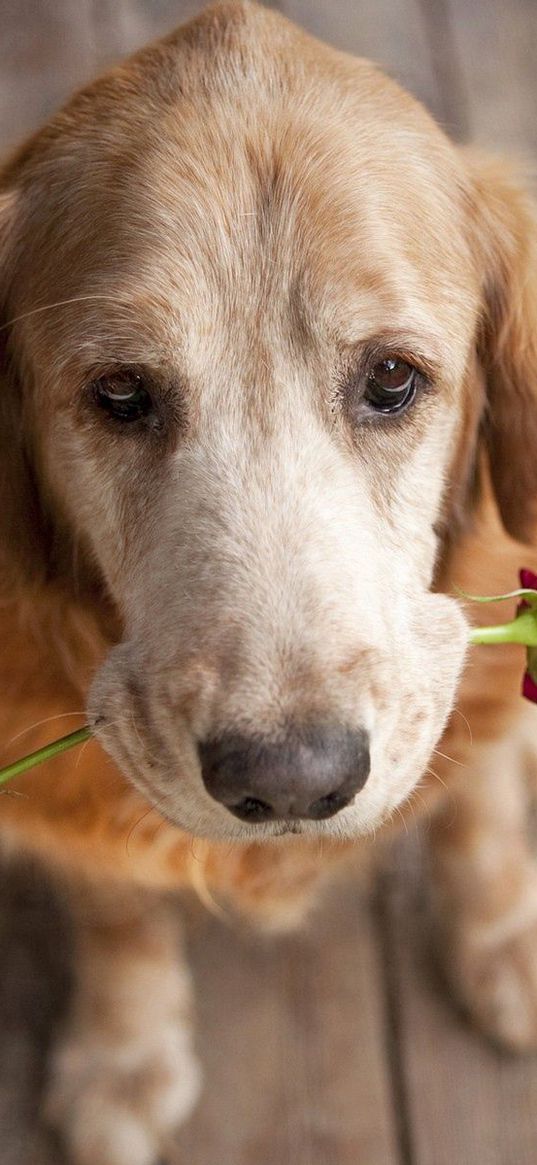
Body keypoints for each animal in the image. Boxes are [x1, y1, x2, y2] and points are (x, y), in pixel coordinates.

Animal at [1, 0, 535, 1160]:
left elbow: (476, 808)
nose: (293, 781)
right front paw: (122, 1050)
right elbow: (114, 905)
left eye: (392, 378)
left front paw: (504, 935)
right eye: (120, 392)